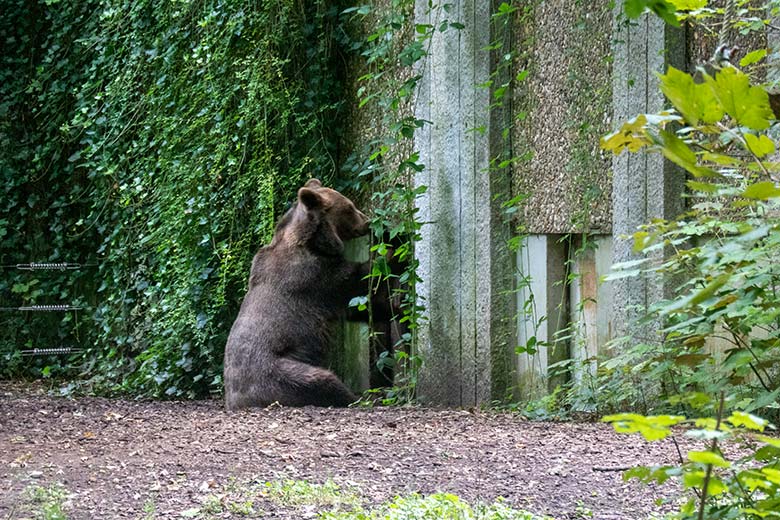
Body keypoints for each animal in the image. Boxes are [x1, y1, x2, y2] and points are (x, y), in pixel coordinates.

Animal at [224, 179, 374, 410]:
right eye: (350, 207)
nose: (367, 221)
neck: (311, 241)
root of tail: (238, 401)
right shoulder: (313, 275)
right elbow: (353, 279)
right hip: (279, 372)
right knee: (320, 379)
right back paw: (357, 398)